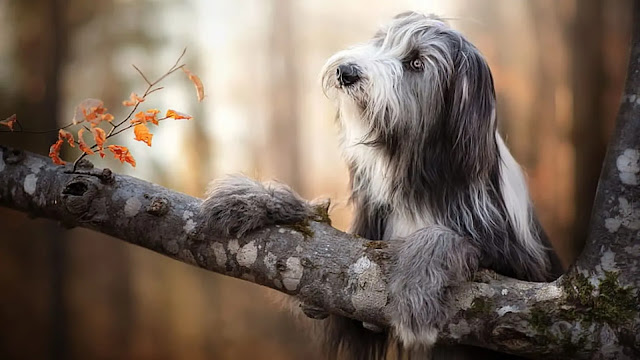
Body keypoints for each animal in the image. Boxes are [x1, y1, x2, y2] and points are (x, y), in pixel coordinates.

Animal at [202, 11, 564, 360]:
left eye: (416, 63)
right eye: (380, 41)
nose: (346, 72)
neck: (417, 174)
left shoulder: (517, 283)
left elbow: (446, 237)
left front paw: (417, 287)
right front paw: (253, 199)